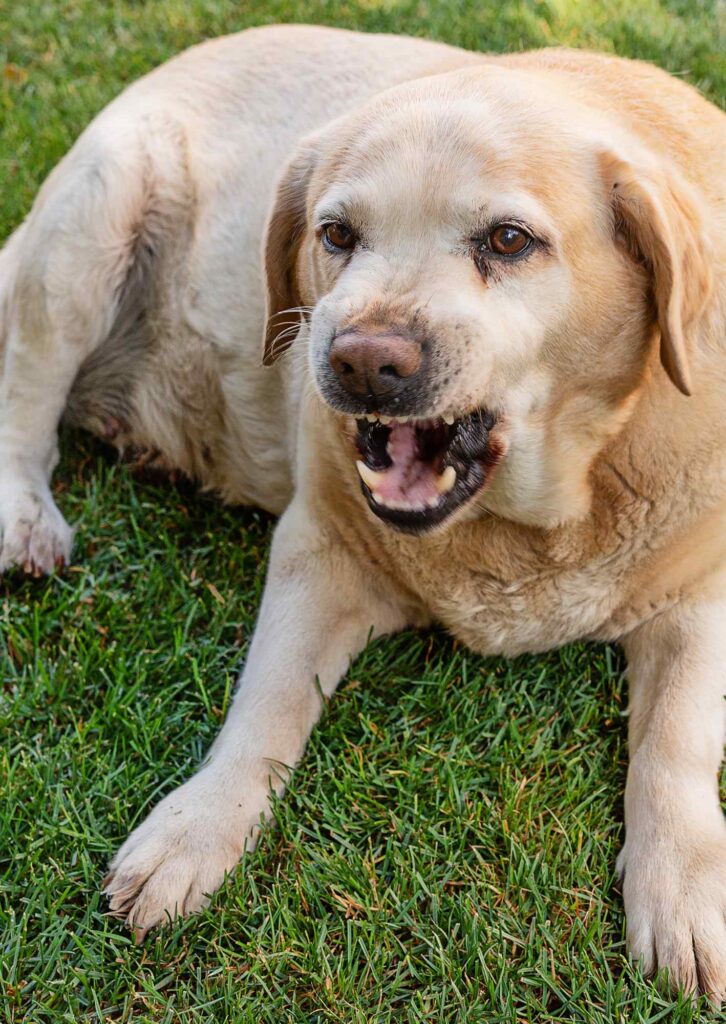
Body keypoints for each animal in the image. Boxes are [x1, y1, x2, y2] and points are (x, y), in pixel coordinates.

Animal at [1, 22, 724, 999]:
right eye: (337, 234)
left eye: (509, 240)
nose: (360, 361)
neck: (528, 523)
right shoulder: (321, 548)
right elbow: (267, 707)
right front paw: (195, 832)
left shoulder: (701, 596)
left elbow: (677, 744)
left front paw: (682, 893)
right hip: (90, 220)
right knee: (27, 394)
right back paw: (23, 517)